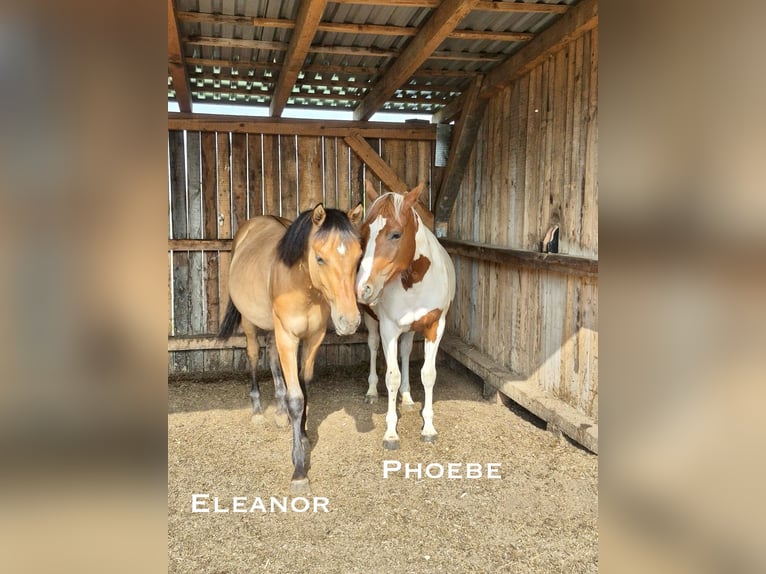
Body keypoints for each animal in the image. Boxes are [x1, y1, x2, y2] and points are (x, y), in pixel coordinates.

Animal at [218, 203, 364, 492]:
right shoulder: (288, 336)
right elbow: (296, 398)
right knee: (254, 356)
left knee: (273, 360)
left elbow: (304, 385)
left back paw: (279, 412)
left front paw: (304, 435)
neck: (301, 287)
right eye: (320, 258)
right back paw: (258, 411)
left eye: (358, 257)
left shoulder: (313, 338)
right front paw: (299, 469)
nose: (350, 321)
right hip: (250, 324)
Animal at [356, 182, 456, 449]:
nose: (362, 288)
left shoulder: (435, 327)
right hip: (372, 323)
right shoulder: (388, 329)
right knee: (372, 347)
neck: (415, 281)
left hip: (410, 330)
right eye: (363, 235)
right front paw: (391, 433)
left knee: (406, 352)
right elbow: (392, 376)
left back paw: (408, 397)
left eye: (396, 234)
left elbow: (428, 374)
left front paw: (428, 428)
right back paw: (371, 392)